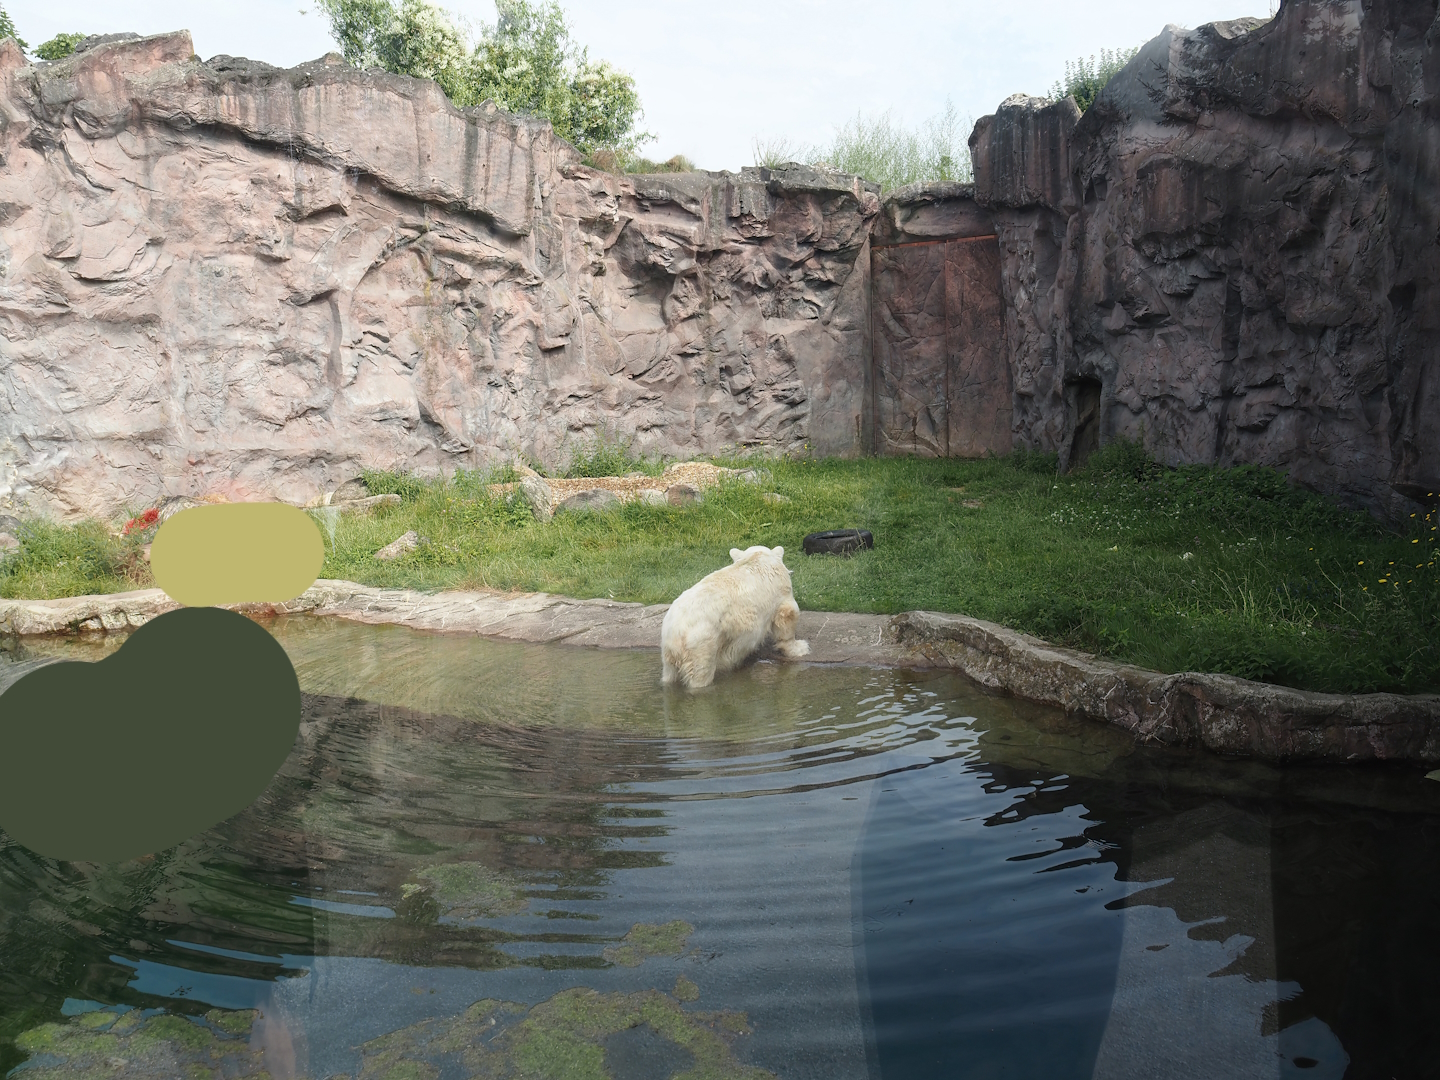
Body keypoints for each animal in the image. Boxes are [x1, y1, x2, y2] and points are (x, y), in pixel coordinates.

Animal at [660, 544, 811, 689]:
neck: (758, 558)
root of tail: (675, 632)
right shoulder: (781, 592)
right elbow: (787, 615)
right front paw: (801, 648)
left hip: (669, 654)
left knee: (669, 675)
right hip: (702, 641)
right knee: (701, 671)